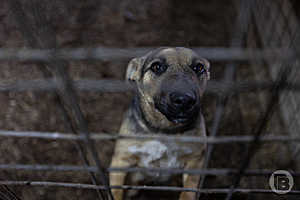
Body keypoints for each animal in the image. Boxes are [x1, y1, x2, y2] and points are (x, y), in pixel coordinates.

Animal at [109, 47, 210, 200]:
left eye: (198, 67)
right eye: (156, 67)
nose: (184, 100)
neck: (163, 130)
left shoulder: (195, 159)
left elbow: (188, 191)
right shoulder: (121, 160)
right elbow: (115, 191)